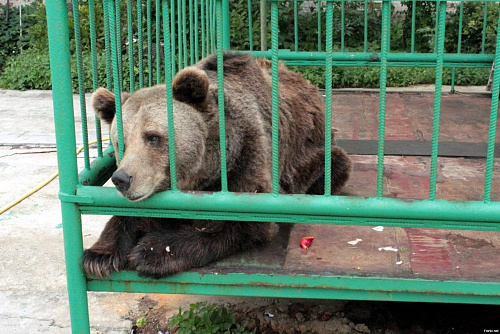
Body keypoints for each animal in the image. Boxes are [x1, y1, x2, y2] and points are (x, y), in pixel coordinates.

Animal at [83, 54, 352, 280]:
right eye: (121, 142)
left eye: (153, 137)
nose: (122, 179)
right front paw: (98, 256)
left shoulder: (247, 154)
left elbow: (243, 223)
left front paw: (151, 250)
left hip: (310, 157)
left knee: (332, 166)